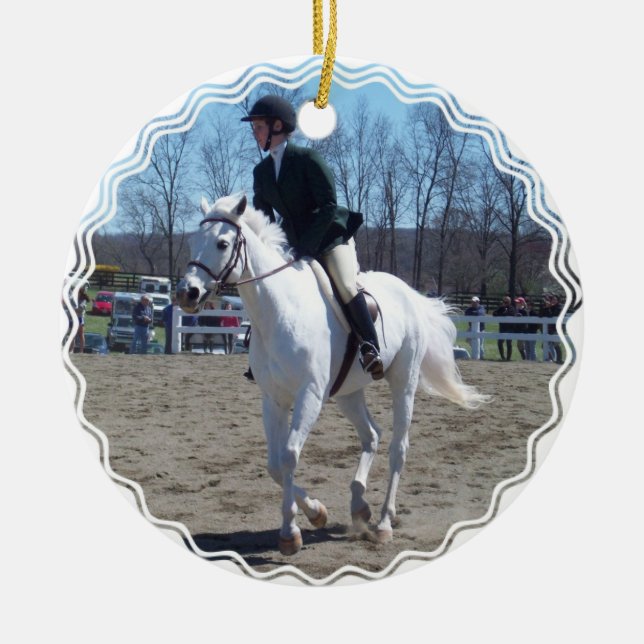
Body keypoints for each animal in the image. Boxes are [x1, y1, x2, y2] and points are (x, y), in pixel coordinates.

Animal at [176, 193, 488, 556]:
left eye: (222, 243)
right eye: (192, 241)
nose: (187, 293)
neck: (279, 311)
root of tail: (410, 294)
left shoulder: (309, 394)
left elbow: (290, 455)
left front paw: (290, 532)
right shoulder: (274, 399)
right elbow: (274, 465)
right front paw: (315, 513)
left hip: (403, 383)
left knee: (398, 447)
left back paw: (384, 522)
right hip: (348, 393)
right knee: (372, 435)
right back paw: (359, 506)